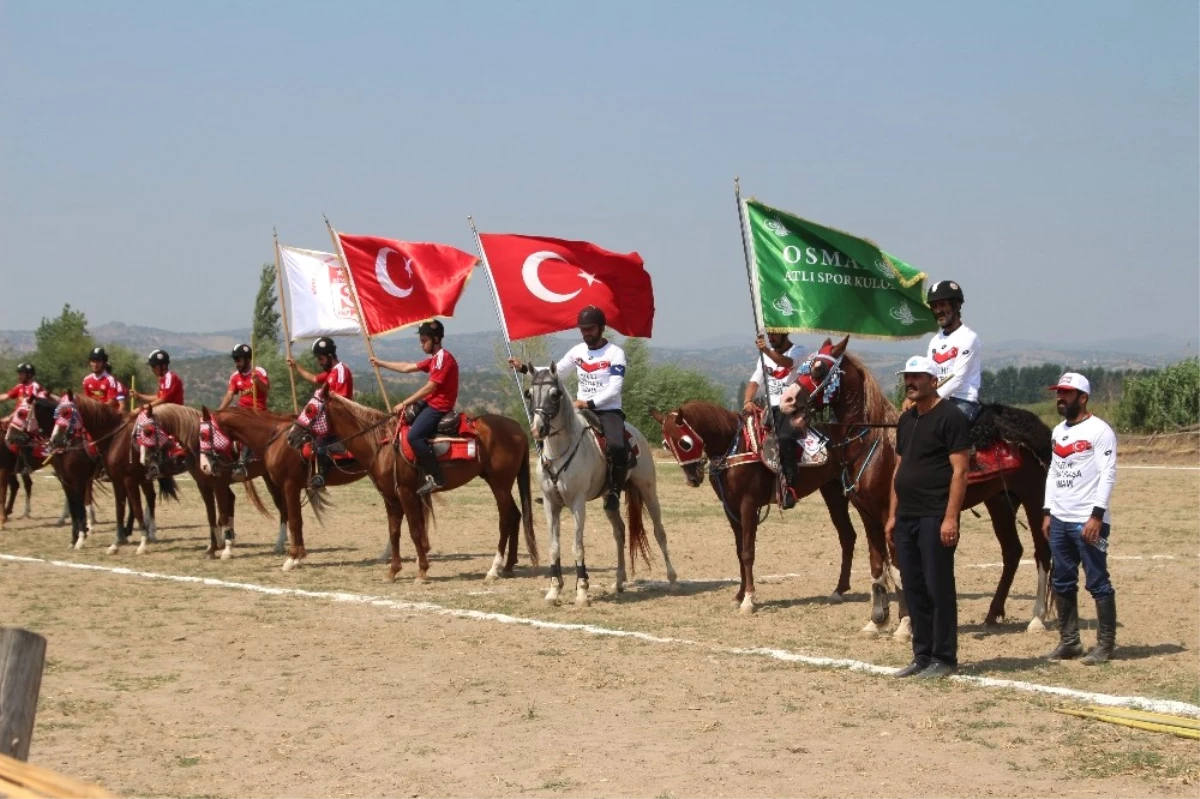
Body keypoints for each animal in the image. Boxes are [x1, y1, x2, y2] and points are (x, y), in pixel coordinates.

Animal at [147, 400, 276, 556]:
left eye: (148, 432)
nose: (151, 469)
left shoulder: (219, 484)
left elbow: (223, 514)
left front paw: (226, 548)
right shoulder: (204, 485)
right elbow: (212, 515)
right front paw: (214, 548)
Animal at [283, 383, 537, 583]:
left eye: (310, 408)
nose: (291, 437)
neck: (380, 443)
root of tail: (518, 429)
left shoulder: (407, 493)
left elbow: (415, 531)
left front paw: (422, 571)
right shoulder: (390, 497)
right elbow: (395, 531)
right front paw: (393, 571)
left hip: (499, 483)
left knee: (506, 519)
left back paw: (494, 569)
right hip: (503, 483)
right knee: (516, 515)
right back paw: (508, 566)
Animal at [525, 359, 676, 604]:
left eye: (555, 395)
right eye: (529, 394)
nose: (538, 429)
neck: (559, 453)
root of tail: (635, 434)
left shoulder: (577, 503)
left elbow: (577, 547)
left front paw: (582, 591)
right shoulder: (550, 504)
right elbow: (554, 547)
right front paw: (554, 591)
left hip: (648, 490)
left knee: (659, 532)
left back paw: (672, 579)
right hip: (610, 498)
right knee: (620, 532)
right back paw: (619, 581)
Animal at [652, 400, 878, 619]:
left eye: (684, 443)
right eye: (666, 444)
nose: (692, 478)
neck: (734, 447)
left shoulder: (748, 505)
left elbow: (747, 553)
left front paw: (748, 600)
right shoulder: (730, 508)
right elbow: (739, 551)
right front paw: (739, 596)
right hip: (832, 492)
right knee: (847, 536)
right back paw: (839, 590)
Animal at [787, 335, 1051, 633]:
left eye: (819, 370)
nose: (787, 400)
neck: (876, 444)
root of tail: (1039, 430)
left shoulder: (890, 515)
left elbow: (898, 566)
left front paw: (905, 623)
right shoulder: (868, 515)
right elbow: (877, 565)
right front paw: (876, 620)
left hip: (1034, 499)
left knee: (1042, 553)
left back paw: (1037, 618)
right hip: (1001, 501)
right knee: (1013, 551)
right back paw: (993, 614)